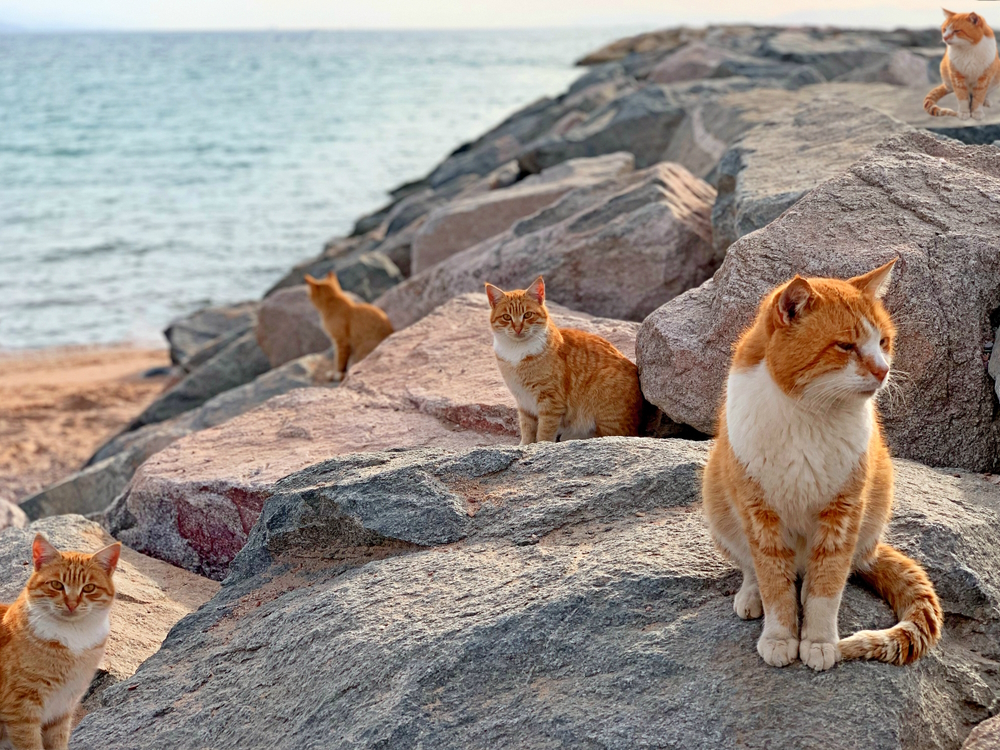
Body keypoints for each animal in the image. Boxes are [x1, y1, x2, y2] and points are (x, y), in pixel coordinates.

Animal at [0, 536, 121, 748]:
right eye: (57, 585)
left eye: (89, 588)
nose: (71, 604)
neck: (73, 637)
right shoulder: (21, 710)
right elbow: (31, 745)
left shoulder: (62, 710)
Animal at [484, 278, 640, 446]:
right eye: (507, 317)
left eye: (528, 315)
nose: (518, 328)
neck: (516, 352)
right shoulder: (523, 402)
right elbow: (527, 429)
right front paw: (525, 445)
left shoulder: (550, 401)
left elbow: (544, 432)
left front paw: (541, 446)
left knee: (609, 435)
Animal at [700, 262, 940, 672]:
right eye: (845, 346)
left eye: (883, 342)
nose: (883, 370)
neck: (808, 414)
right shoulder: (759, 513)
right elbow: (774, 583)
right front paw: (780, 637)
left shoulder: (843, 512)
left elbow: (827, 586)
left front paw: (819, 641)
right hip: (719, 506)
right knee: (753, 567)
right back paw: (751, 595)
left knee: (817, 577)